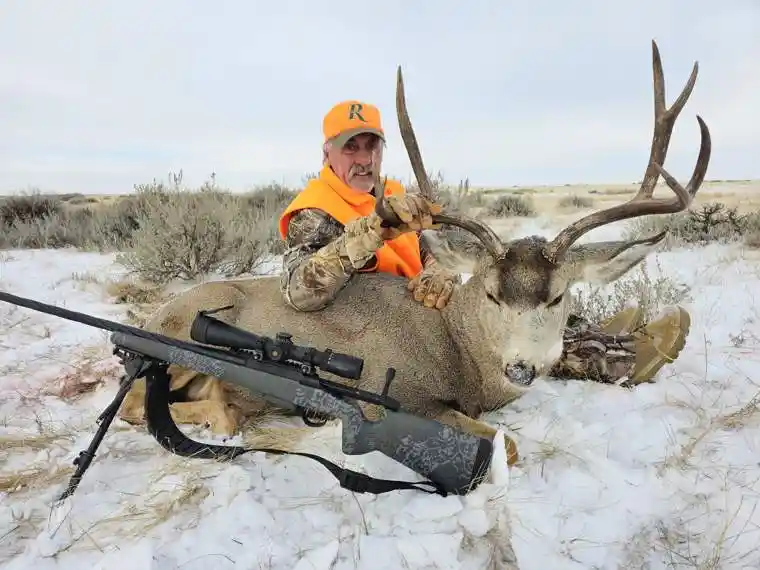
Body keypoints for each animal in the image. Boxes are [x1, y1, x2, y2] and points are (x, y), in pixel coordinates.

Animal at [118, 40, 711, 474]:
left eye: (558, 296)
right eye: (491, 293)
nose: (521, 366)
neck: (458, 350)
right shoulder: (397, 397)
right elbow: (506, 445)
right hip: (184, 329)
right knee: (135, 401)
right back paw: (228, 406)